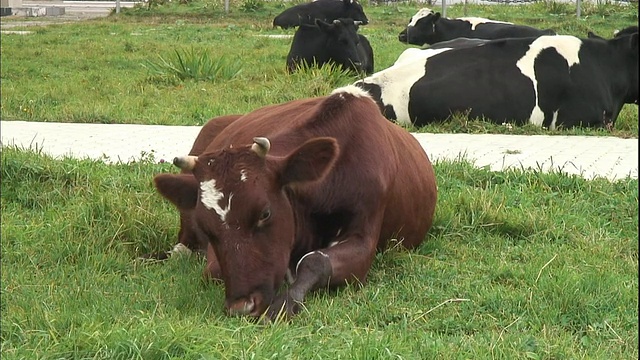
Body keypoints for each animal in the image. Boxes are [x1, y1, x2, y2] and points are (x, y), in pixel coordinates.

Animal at [152, 85, 438, 320]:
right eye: (208, 228)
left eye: (265, 213)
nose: (242, 306)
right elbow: (212, 270)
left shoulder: (364, 236)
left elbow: (316, 261)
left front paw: (286, 301)